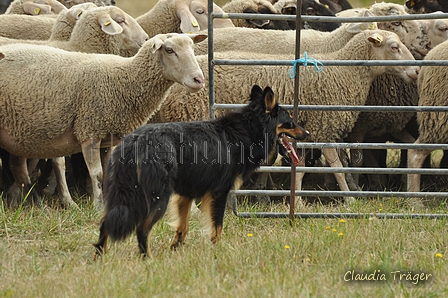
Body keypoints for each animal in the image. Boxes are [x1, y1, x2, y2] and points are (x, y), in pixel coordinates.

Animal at [0, 32, 206, 210]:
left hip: (19, 131)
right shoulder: (89, 130)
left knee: (17, 166)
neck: (125, 79)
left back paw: (31, 202)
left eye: (192, 48)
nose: (199, 79)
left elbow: (109, 172)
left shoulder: (110, 137)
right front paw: (98, 206)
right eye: (169, 50)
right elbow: (97, 174)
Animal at [93, 85, 310, 258]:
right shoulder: (219, 192)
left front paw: (175, 250)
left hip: (122, 194)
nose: (307, 133)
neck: (246, 130)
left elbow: (183, 227)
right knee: (142, 229)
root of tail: (134, 142)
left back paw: (99, 257)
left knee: (105, 223)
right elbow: (217, 227)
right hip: (155, 197)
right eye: (290, 122)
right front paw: (218, 251)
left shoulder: (186, 194)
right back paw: (148, 260)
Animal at [150, 30, 420, 207]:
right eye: (394, 47)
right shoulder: (325, 126)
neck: (345, 73)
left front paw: (298, 201)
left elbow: (302, 167)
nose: (417, 70)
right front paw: (348, 199)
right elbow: (338, 167)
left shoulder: (310, 130)